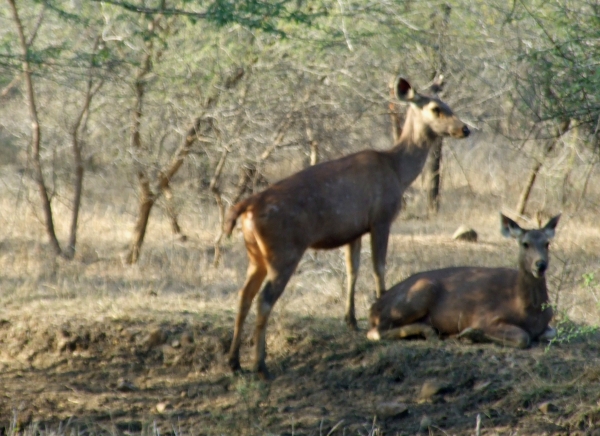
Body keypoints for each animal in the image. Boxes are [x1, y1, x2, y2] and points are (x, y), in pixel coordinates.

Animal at [227, 76, 472, 378]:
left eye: (447, 103)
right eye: (436, 109)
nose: (465, 128)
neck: (397, 171)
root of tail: (246, 207)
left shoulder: (353, 230)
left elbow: (352, 270)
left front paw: (351, 320)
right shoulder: (380, 218)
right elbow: (379, 267)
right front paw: (379, 308)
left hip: (256, 255)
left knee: (243, 296)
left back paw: (234, 362)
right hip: (283, 252)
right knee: (264, 299)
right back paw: (260, 366)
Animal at [368, 213, 560, 350]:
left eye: (547, 243)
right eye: (525, 244)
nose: (540, 265)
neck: (527, 309)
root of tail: (374, 307)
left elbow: (551, 332)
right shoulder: (486, 316)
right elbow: (523, 337)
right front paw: (470, 334)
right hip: (420, 293)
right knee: (375, 332)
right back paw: (430, 331)